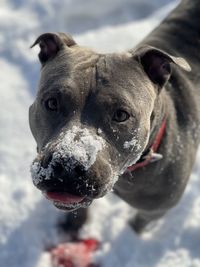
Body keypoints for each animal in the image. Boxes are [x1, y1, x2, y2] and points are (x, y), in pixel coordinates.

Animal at [28, 0, 200, 233]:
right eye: (52, 103)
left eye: (121, 115)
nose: (67, 165)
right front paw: (74, 225)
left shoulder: (154, 211)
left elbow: (138, 224)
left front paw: (131, 233)